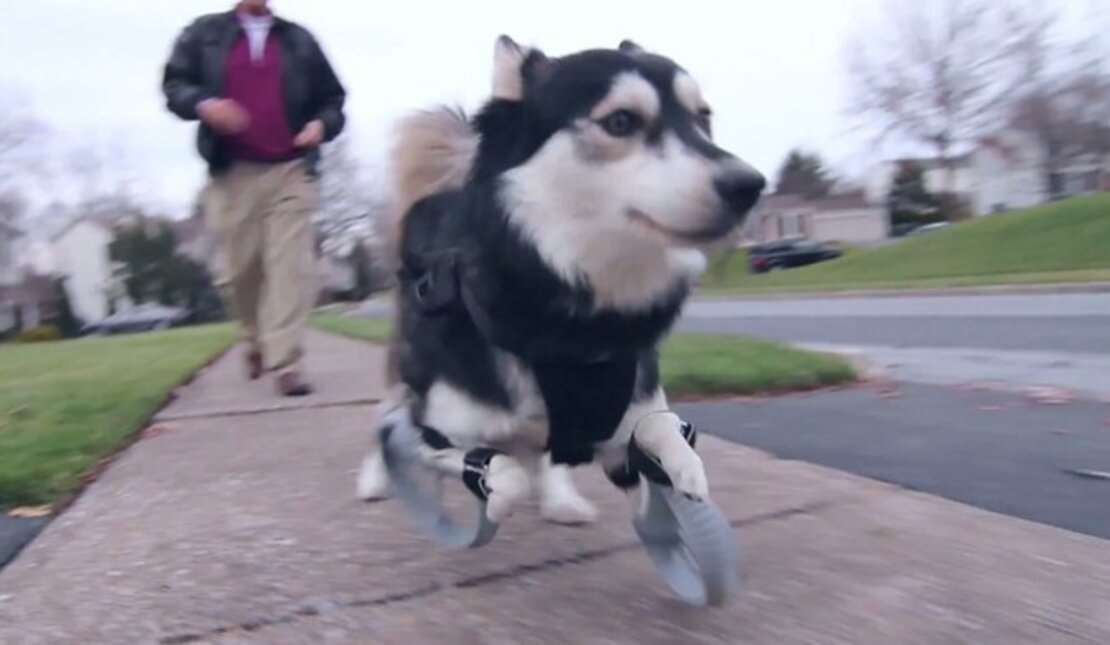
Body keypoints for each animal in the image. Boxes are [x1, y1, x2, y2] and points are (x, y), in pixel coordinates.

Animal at [355, 35, 763, 526]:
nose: (750, 186)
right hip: (406, 365)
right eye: (621, 121)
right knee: (386, 416)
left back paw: (561, 499)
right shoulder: (431, 430)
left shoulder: (626, 418)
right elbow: (502, 470)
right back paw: (375, 479)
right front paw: (496, 493)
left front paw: (685, 469)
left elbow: (663, 426)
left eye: (703, 117)